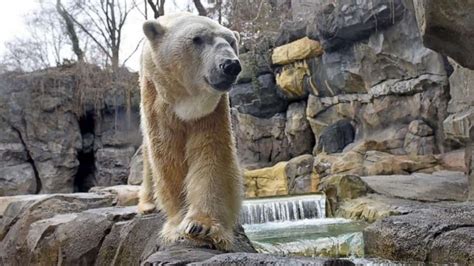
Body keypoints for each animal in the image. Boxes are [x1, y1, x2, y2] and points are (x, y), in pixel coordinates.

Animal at [136, 11, 241, 249]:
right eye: (197, 39)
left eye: (231, 41)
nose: (230, 65)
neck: (185, 100)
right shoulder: (158, 101)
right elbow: (167, 158)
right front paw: (177, 225)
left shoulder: (211, 111)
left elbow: (211, 154)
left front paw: (202, 226)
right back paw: (147, 204)